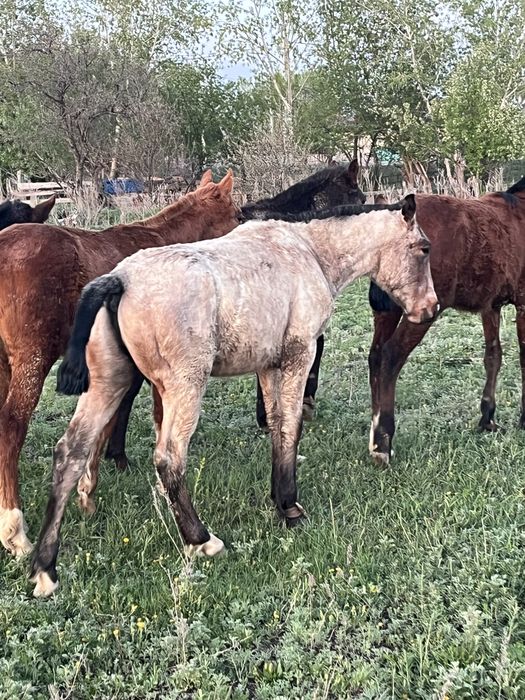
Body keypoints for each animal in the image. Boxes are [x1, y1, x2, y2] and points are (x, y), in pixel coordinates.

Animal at [0, 171, 240, 557]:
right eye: (235, 215)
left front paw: (89, 487)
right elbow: (154, 417)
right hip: (30, 361)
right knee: (11, 426)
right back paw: (14, 529)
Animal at [30, 195, 438, 596]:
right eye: (424, 249)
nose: (430, 308)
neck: (309, 251)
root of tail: (118, 279)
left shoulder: (268, 366)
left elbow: (276, 424)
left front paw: (279, 501)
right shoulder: (298, 356)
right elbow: (290, 427)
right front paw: (290, 508)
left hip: (109, 384)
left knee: (70, 454)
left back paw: (44, 568)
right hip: (185, 387)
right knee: (168, 458)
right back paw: (201, 539)